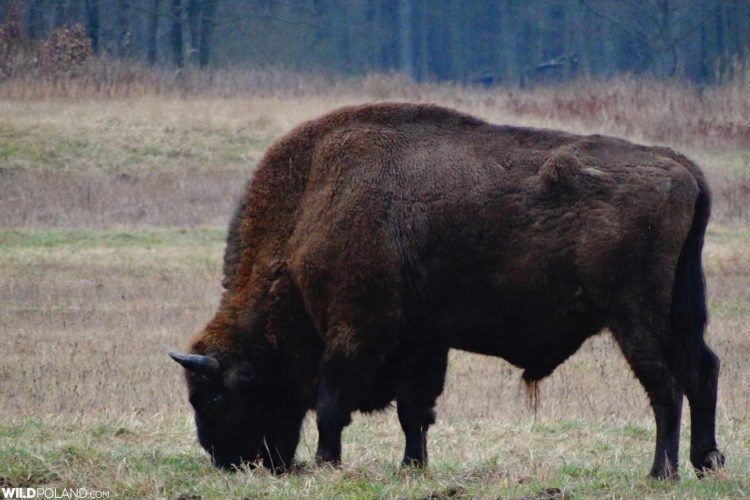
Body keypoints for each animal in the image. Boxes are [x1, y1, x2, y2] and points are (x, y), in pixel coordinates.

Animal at [169, 100, 724, 476]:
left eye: (212, 398)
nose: (229, 461)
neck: (311, 205)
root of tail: (680, 167)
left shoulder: (354, 332)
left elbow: (332, 403)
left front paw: (329, 463)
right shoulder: (422, 343)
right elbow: (415, 412)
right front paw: (412, 467)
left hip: (635, 318)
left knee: (666, 385)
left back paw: (662, 472)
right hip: (677, 314)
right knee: (702, 370)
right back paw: (707, 462)